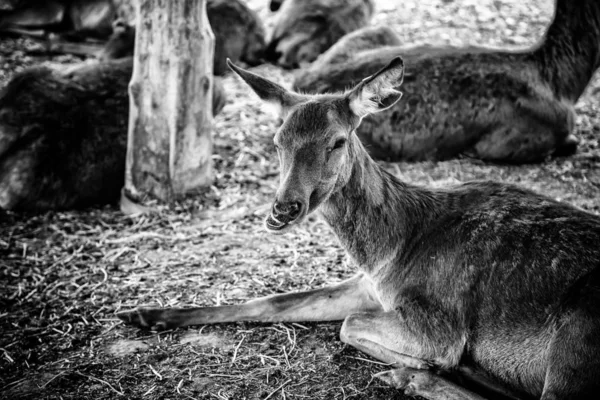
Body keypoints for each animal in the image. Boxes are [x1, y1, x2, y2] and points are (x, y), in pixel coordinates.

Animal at [117, 57, 600, 400]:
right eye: (277, 142)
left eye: (337, 141)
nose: (283, 208)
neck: (392, 249)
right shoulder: (368, 285)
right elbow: (275, 301)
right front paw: (143, 313)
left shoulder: (438, 323)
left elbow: (349, 326)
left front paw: (431, 364)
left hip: (579, 335)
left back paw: (415, 376)